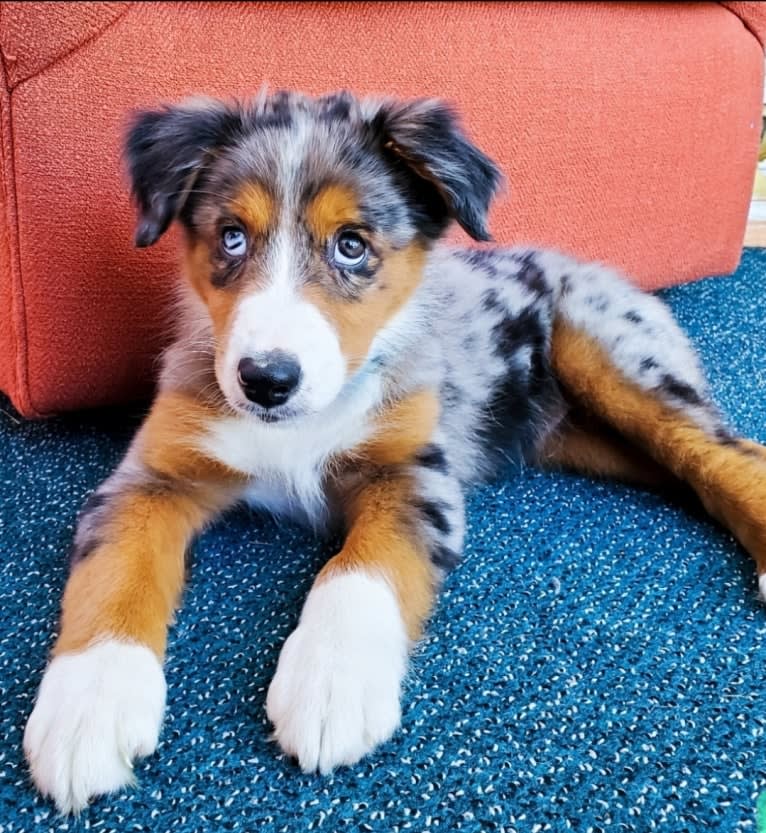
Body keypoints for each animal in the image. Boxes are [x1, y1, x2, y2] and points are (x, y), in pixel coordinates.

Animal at [24, 91, 766, 812]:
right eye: (231, 237)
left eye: (352, 246)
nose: (266, 380)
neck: (298, 424)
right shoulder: (151, 475)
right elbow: (115, 569)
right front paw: (87, 705)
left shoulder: (413, 470)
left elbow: (360, 568)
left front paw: (330, 680)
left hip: (613, 354)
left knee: (720, 451)